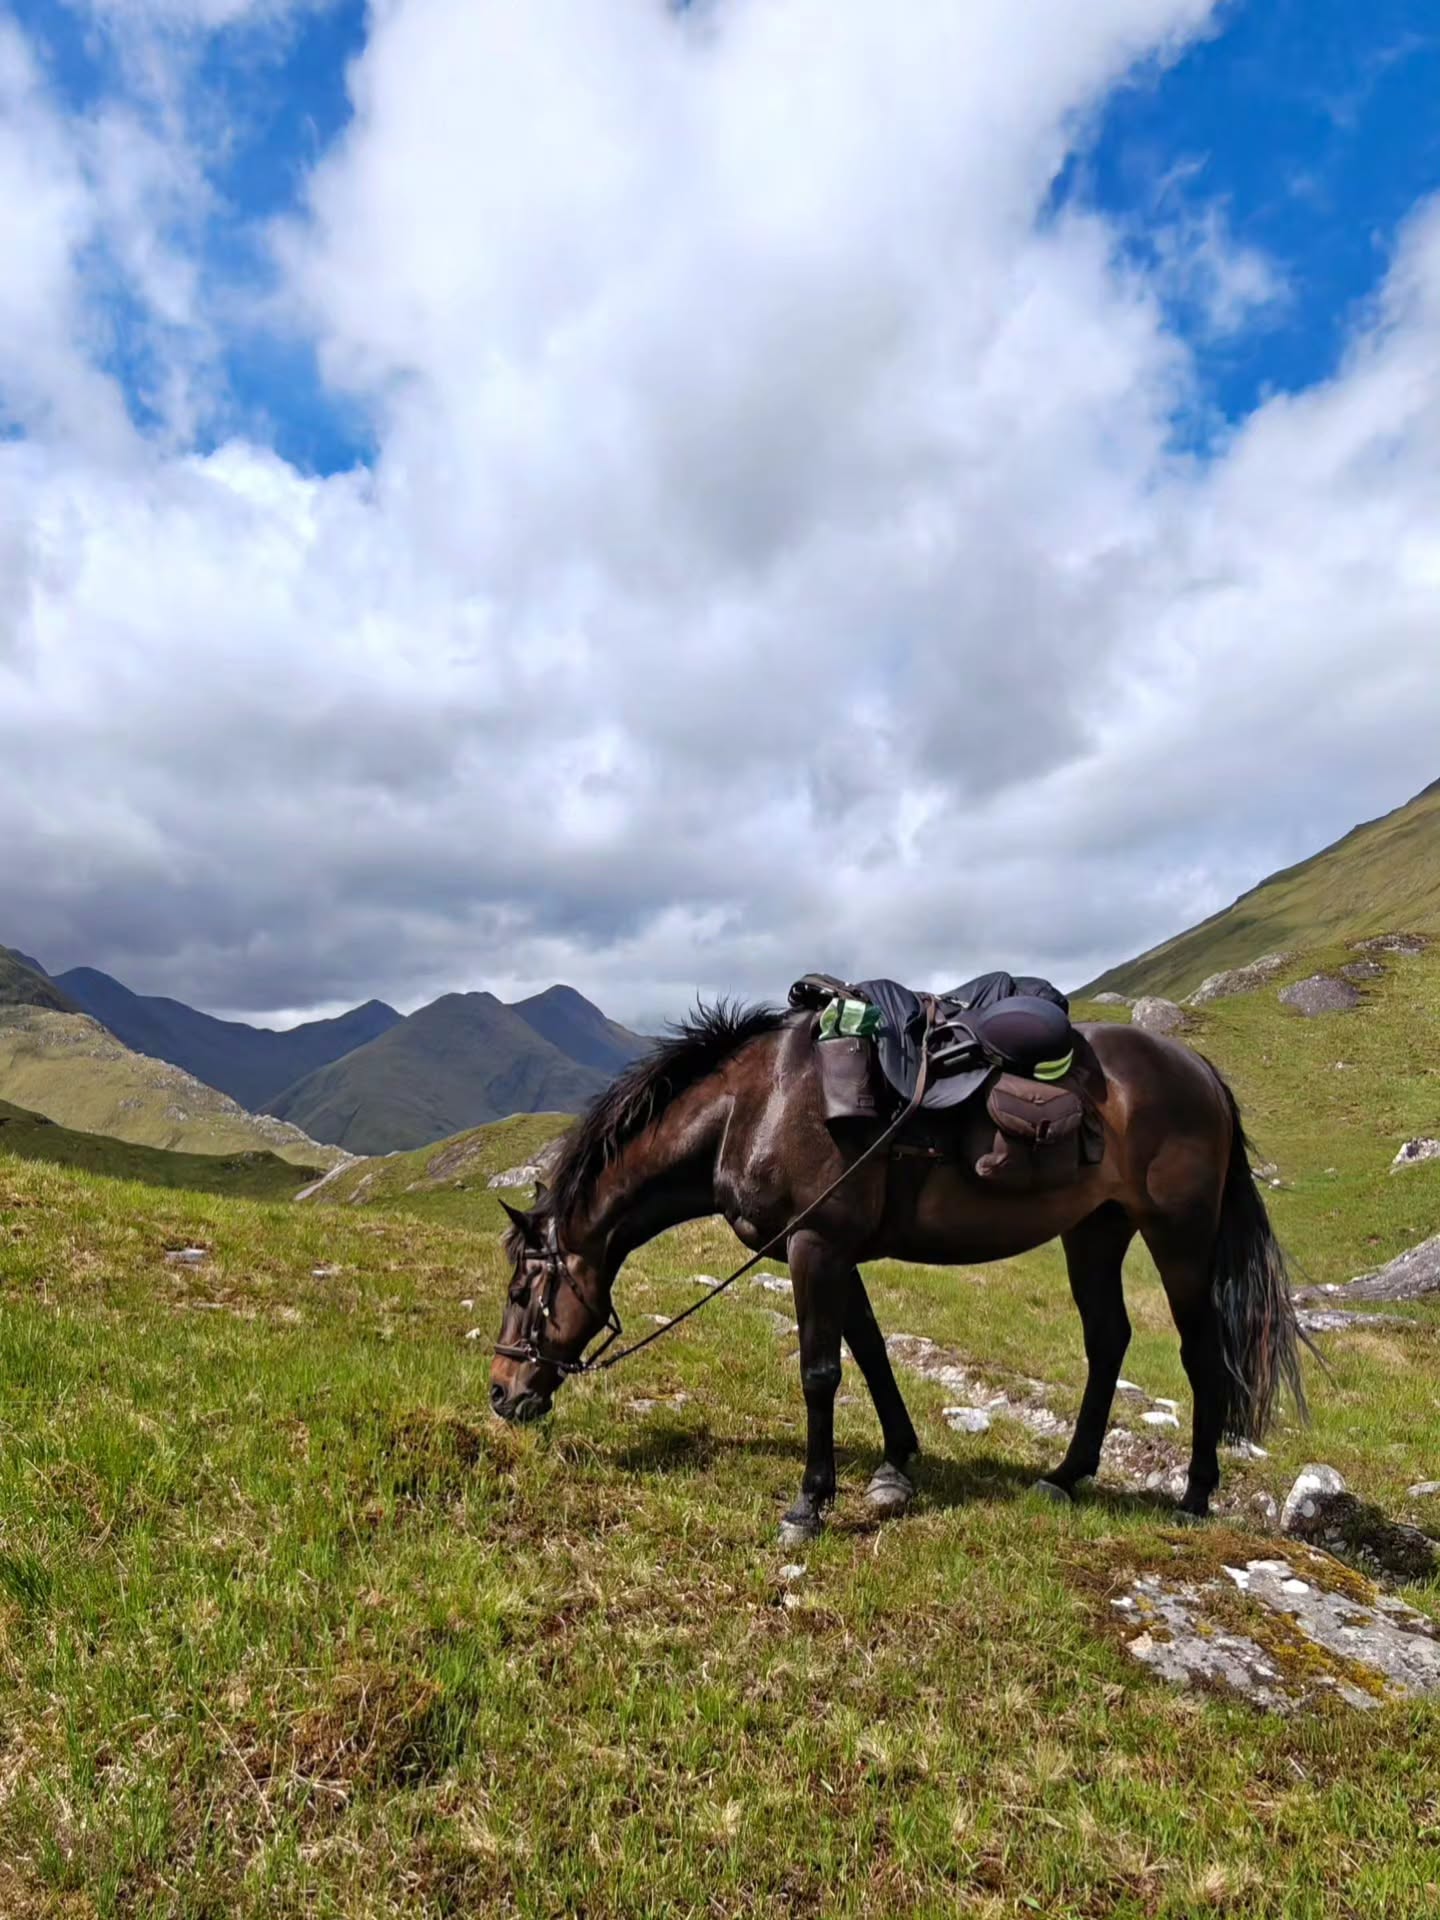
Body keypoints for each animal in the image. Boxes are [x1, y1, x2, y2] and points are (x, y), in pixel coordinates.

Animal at [489, 1002, 1306, 1542]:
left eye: (525, 1290)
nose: (500, 1394)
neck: (752, 1105)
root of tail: (1201, 1072)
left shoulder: (815, 1245)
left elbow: (821, 1372)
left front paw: (810, 1504)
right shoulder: (831, 1249)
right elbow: (872, 1352)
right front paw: (896, 1461)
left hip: (1179, 1237)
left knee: (1200, 1354)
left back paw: (1194, 1499)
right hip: (1095, 1232)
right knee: (1108, 1340)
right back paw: (1066, 1474)